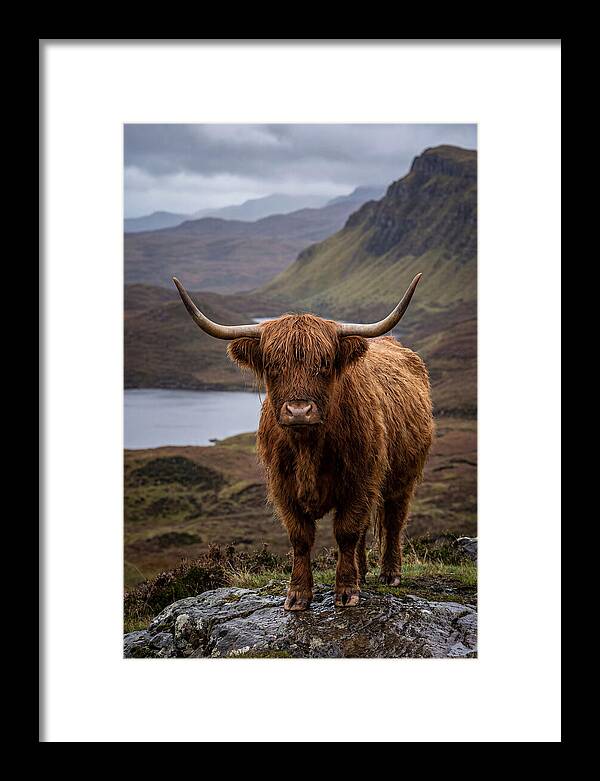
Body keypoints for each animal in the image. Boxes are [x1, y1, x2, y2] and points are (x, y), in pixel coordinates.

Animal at [173, 275, 434, 611]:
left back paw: (390, 574)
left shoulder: (360, 481)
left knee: (393, 520)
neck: (308, 447)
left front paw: (346, 591)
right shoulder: (283, 487)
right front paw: (298, 595)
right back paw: (363, 573)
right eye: (272, 365)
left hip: (403, 477)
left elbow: (346, 531)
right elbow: (301, 537)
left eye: (324, 364)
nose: (299, 411)